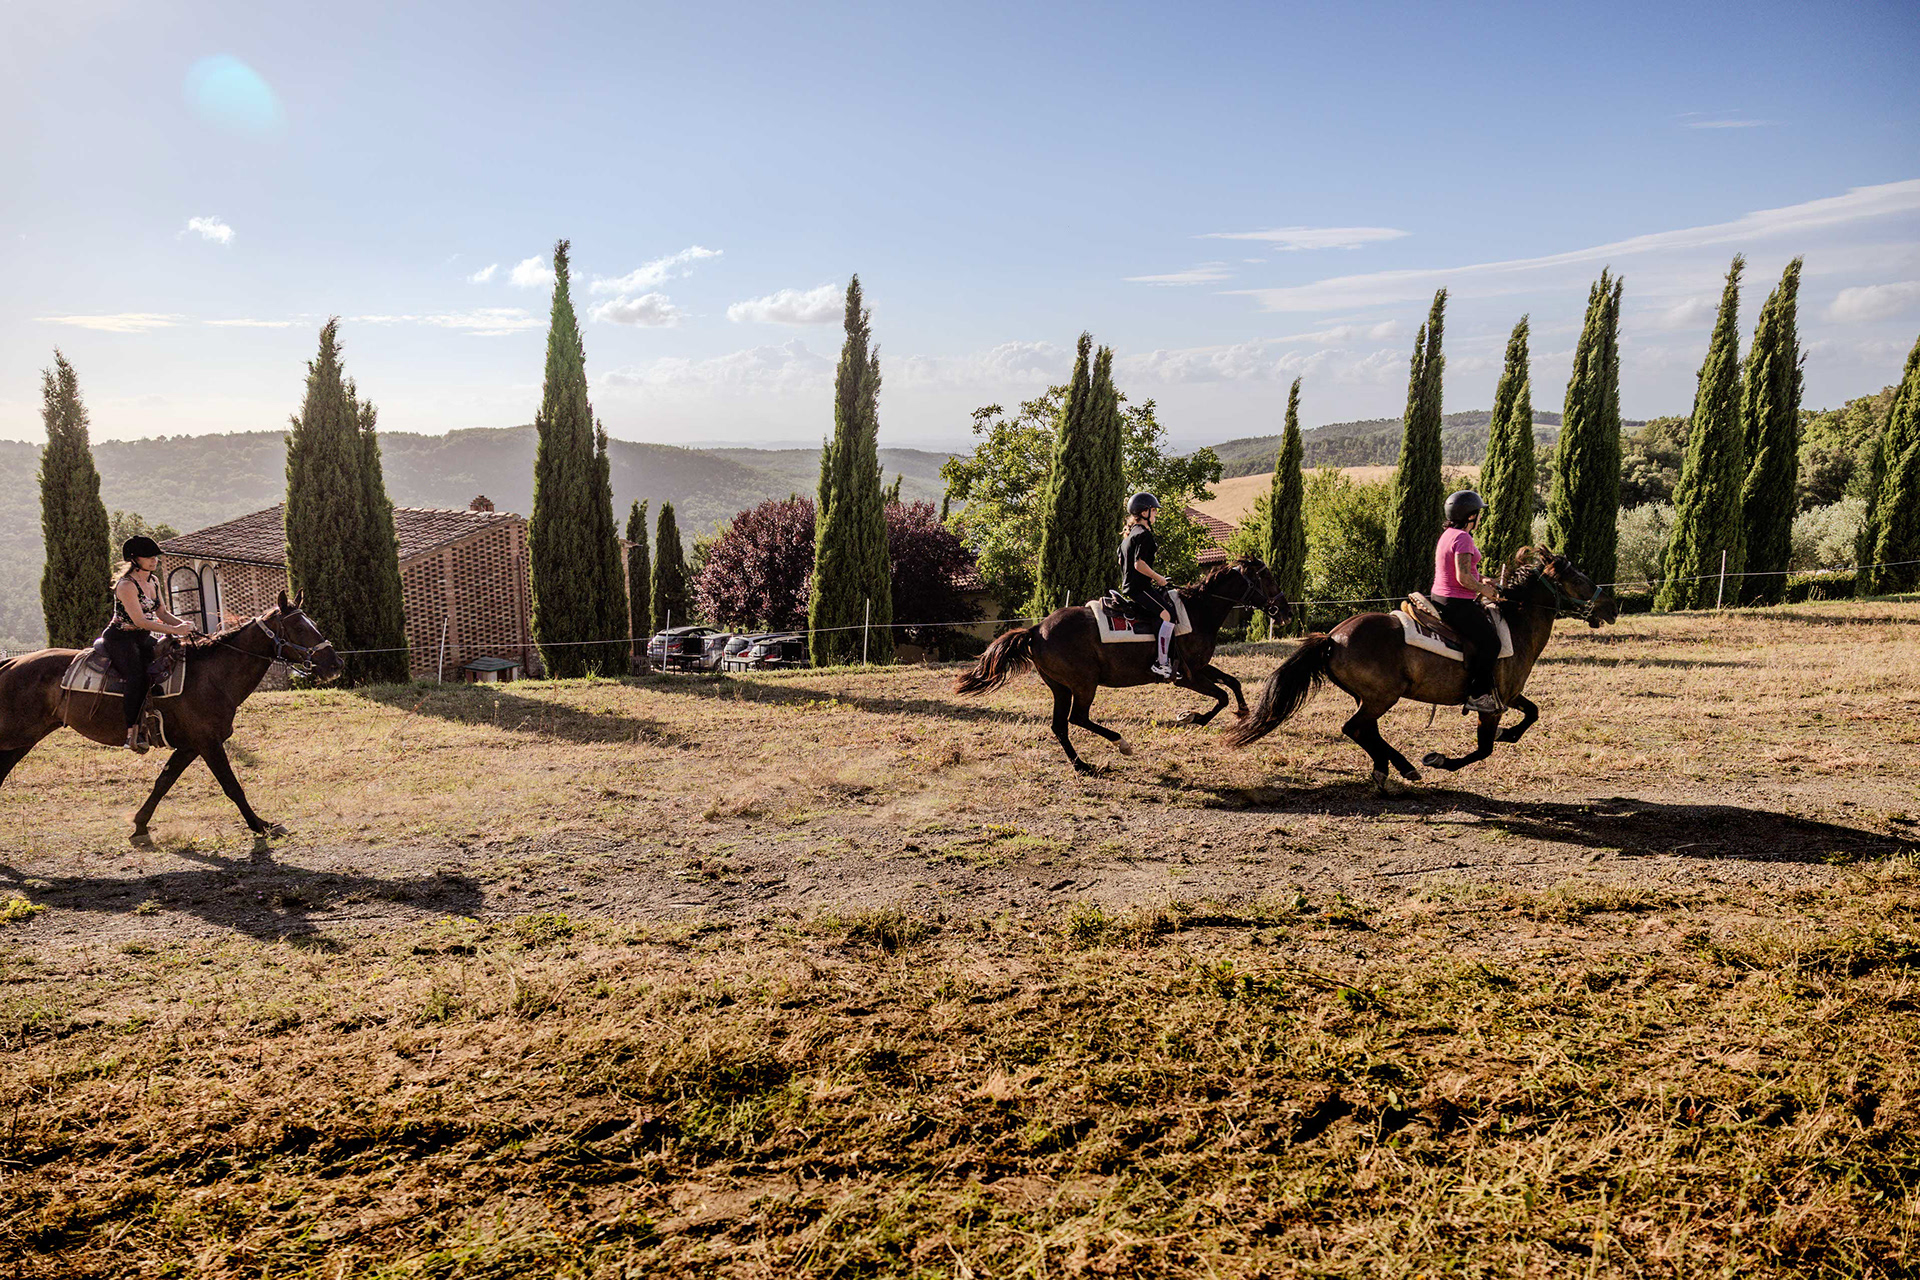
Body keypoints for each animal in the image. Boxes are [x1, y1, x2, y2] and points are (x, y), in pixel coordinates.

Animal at [0, 592, 343, 842]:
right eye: (300, 628)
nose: (334, 664)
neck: (210, 675)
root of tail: (11, 663)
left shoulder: (190, 746)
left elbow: (163, 782)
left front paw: (140, 824)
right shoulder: (209, 743)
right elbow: (232, 786)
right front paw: (260, 825)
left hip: (22, 741)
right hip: (15, 737)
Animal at [954, 558, 1291, 772]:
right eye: (1267, 578)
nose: (1285, 612)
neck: (1197, 611)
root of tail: (1036, 629)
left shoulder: (1200, 667)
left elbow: (1232, 683)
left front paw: (1244, 711)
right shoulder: (1187, 677)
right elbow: (1220, 697)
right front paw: (1191, 718)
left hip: (1060, 687)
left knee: (1060, 725)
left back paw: (1081, 766)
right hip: (1084, 684)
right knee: (1078, 718)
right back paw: (1121, 743)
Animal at [1223, 547, 1616, 787]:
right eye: (1579, 579)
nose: (1610, 607)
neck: (1514, 623)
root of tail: (1333, 637)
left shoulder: (1508, 694)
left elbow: (1533, 712)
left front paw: (1510, 735)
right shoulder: (1491, 705)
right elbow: (1484, 749)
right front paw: (1440, 759)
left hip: (1371, 697)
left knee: (1366, 731)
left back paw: (1393, 767)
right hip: (1383, 696)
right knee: (1356, 728)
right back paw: (1401, 767)